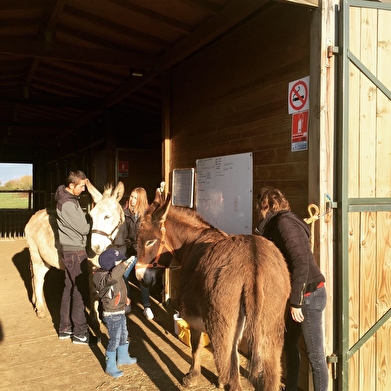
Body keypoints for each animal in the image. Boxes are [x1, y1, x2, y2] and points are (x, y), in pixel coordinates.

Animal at [24, 179, 125, 326]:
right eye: (91, 216)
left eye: (107, 216)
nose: (95, 247)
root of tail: (35, 215)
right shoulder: (92, 270)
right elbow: (94, 294)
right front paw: (95, 319)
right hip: (36, 255)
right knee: (38, 279)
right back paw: (41, 309)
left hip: (46, 259)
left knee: (36, 277)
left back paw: (35, 301)